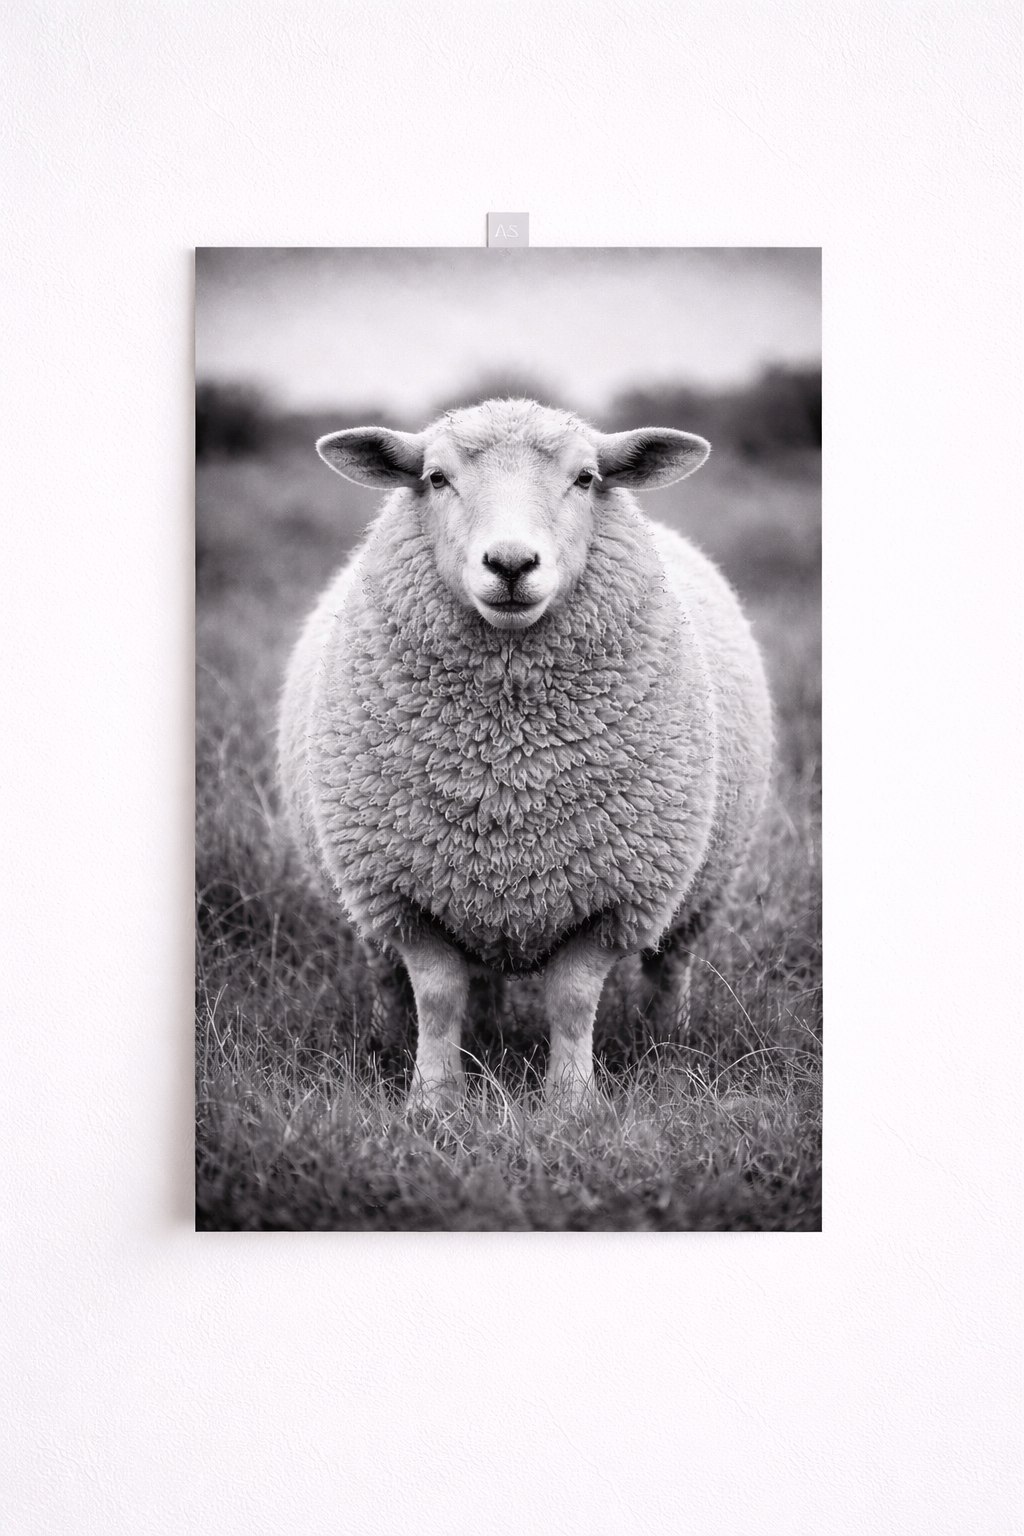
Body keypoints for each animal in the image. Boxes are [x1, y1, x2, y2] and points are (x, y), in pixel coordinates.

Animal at [278, 398, 772, 1108]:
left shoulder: (613, 896)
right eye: (435, 478)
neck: (510, 761)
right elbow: (437, 995)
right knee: (399, 978)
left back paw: (668, 1045)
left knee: (669, 966)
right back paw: (394, 1039)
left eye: (587, 478)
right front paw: (435, 1100)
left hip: (697, 893)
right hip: (379, 894)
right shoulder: (405, 895)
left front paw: (570, 1103)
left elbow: (572, 1000)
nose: (510, 564)